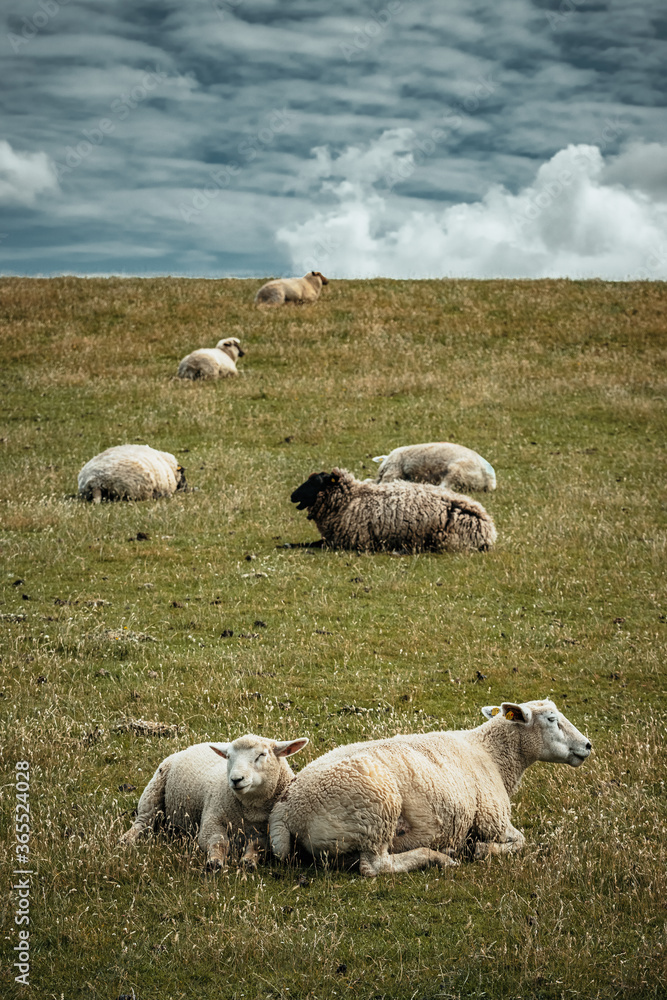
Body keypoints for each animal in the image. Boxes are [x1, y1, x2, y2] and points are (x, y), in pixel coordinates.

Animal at [121, 734, 308, 867]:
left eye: (262, 755)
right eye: (229, 757)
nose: (236, 779)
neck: (251, 811)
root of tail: (195, 745)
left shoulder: (269, 832)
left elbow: (257, 846)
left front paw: (249, 861)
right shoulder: (212, 819)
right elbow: (218, 842)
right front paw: (215, 861)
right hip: (154, 789)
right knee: (143, 820)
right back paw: (127, 839)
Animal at [270, 700, 591, 877]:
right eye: (552, 719)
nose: (588, 745)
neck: (491, 754)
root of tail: (286, 806)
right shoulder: (493, 820)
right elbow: (520, 841)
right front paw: (480, 849)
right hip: (375, 812)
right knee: (376, 866)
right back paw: (437, 857)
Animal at [290, 468, 496, 553]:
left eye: (315, 482)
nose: (292, 496)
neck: (349, 499)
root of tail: (489, 527)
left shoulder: (348, 541)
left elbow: (311, 544)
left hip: (444, 540)